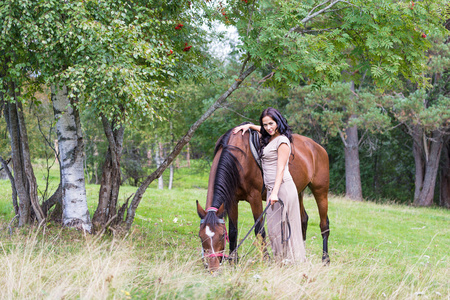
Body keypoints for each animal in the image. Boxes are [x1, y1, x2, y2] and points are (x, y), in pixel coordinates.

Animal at [197, 125, 330, 270]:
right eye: (201, 237)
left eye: (221, 236)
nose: (212, 267)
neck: (238, 158)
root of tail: (317, 147)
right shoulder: (232, 200)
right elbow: (233, 231)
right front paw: (233, 261)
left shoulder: (254, 198)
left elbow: (259, 230)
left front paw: (266, 260)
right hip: (298, 192)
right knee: (302, 221)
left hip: (320, 191)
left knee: (324, 225)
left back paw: (325, 259)